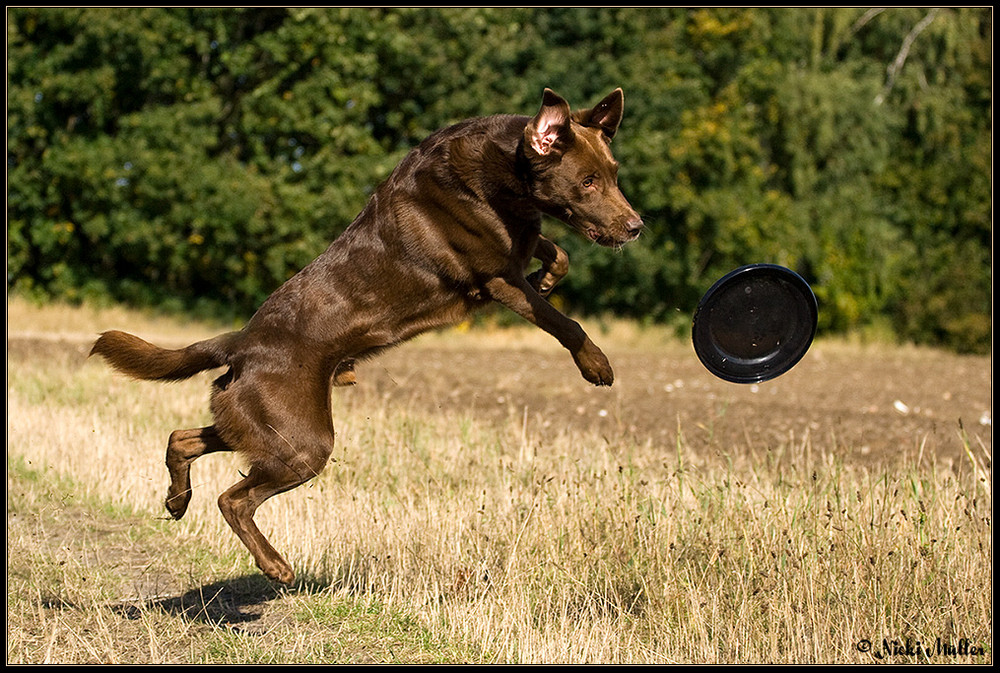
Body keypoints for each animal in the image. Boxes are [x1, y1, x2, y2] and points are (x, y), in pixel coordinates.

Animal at [92, 89, 640, 584]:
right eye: (588, 181)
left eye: (615, 175)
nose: (637, 226)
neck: (502, 174)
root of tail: (242, 341)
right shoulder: (499, 277)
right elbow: (562, 320)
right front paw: (597, 364)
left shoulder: (520, 247)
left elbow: (553, 252)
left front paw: (550, 274)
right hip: (302, 439)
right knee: (234, 498)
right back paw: (276, 567)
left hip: (259, 424)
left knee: (182, 439)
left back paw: (177, 502)